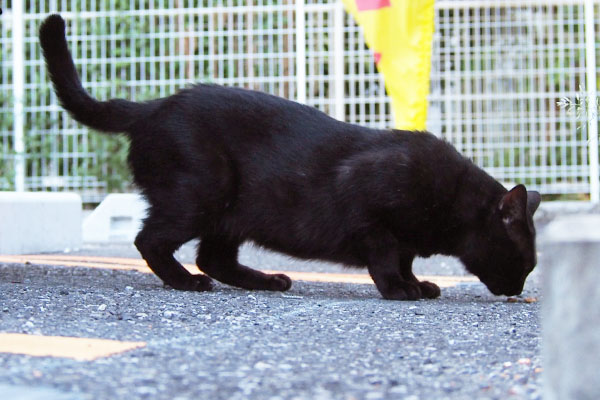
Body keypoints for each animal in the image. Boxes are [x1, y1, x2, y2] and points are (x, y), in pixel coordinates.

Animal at [39, 14, 540, 298]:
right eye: (524, 261)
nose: (518, 289)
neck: (450, 202)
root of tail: (156, 104)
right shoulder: (370, 212)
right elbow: (386, 256)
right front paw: (401, 290)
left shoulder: (403, 238)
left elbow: (405, 256)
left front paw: (416, 283)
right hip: (203, 192)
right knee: (152, 241)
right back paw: (187, 283)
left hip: (231, 214)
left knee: (213, 257)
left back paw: (268, 281)